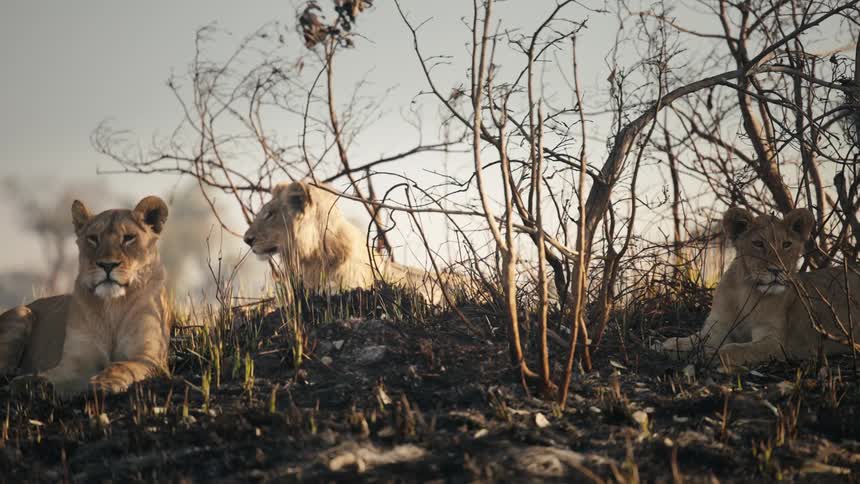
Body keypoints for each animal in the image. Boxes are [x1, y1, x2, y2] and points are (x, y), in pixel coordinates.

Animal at [0, 196, 172, 396]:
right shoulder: (77, 361)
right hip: (22, 311)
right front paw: (31, 383)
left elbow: (121, 365)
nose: (107, 265)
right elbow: (51, 374)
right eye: (93, 238)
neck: (113, 306)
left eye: (129, 238)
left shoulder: (148, 356)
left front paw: (105, 383)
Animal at [662, 207, 860, 369]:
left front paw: (708, 355)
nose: (777, 270)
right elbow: (688, 340)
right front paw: (671, 345)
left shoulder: (774, 343)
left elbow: (730, 350)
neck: (746, 291)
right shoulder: (718, 327)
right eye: (758, 244)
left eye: (786, 244)